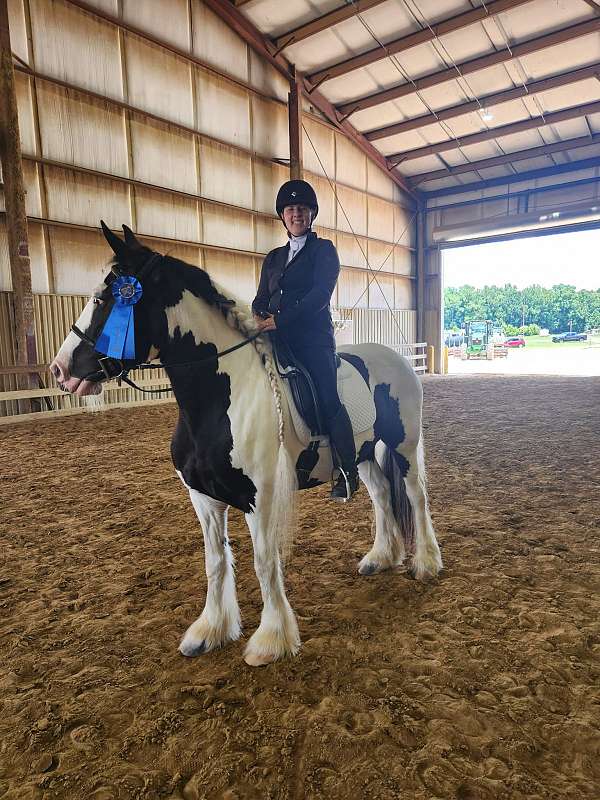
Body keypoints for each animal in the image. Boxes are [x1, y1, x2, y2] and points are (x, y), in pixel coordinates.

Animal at [50, 223, 442, 667]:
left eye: (106, 297)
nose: (60, 370)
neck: (221, 398)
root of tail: (397, 358)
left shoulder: (261, 499)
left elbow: (264, 563)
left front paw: (270, 640)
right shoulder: (203, 498)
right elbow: (216, 562)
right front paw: (209, 631)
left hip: (403, 446)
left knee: (416, 497)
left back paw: (426, 564)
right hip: (362, 457)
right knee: (381, 496)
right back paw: (380, 558)